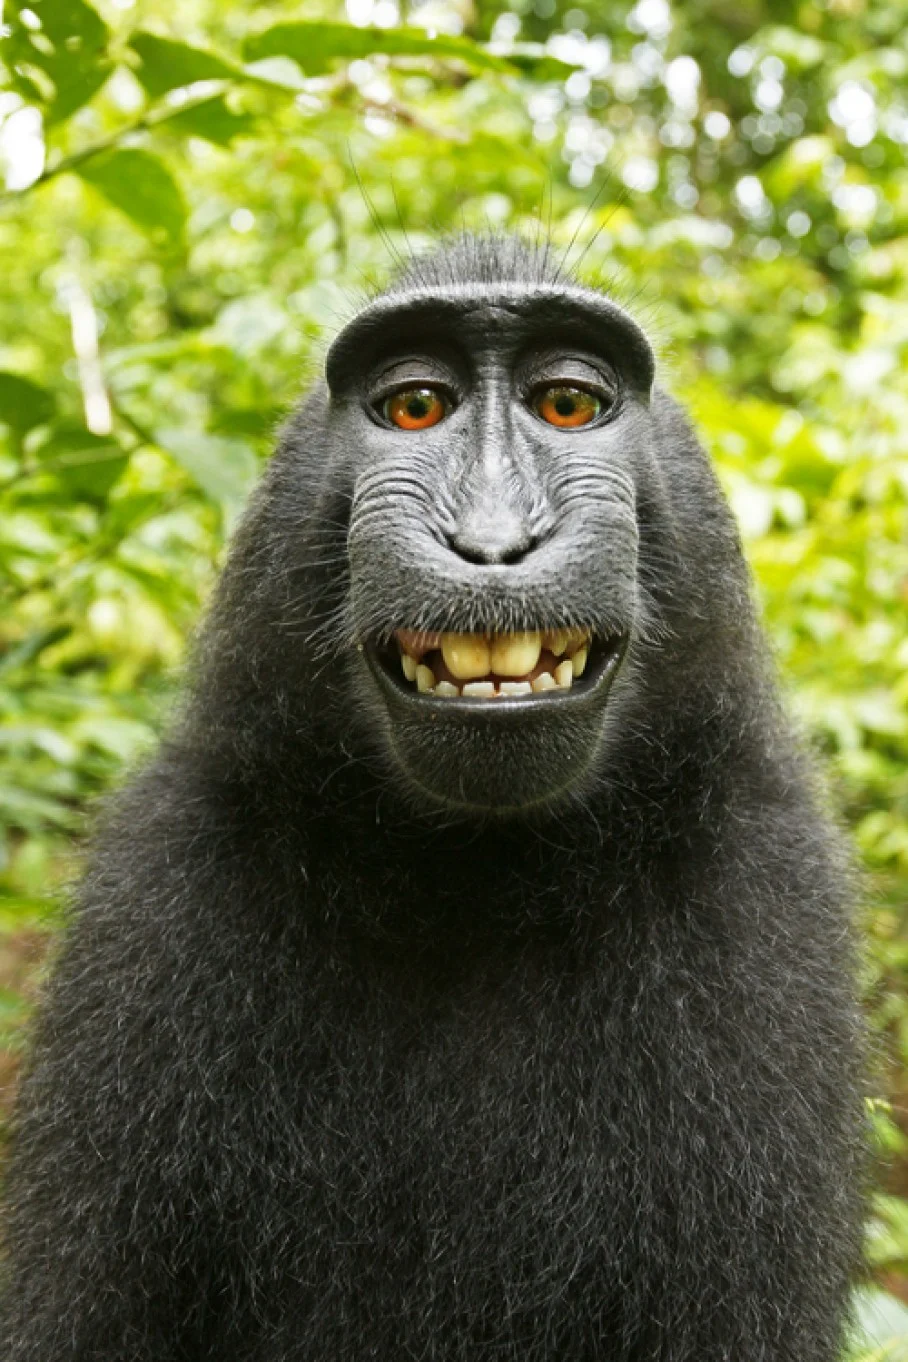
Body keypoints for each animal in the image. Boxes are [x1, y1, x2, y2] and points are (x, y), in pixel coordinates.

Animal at [1, 235, 865, 1360]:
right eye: (415, 407)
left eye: (567, 406)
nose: (492, 543)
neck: (474, 880)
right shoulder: (160, 884)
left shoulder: (764, 891)